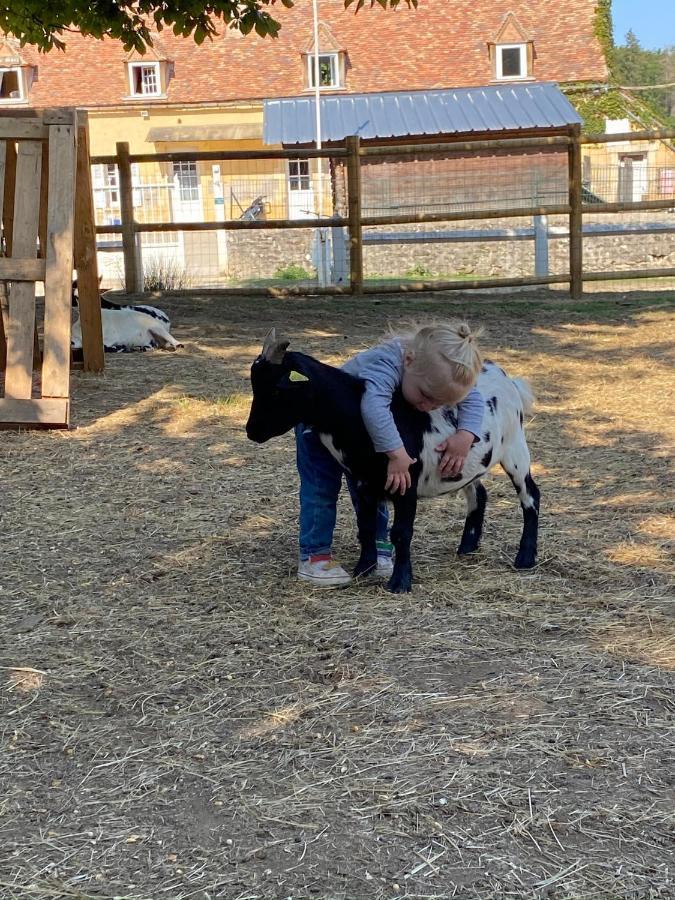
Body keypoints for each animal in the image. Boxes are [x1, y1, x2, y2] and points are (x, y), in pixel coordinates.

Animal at [246, 328, 540, 592]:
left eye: (277, 389)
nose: (252, 431)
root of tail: (509, 380)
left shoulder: (407, 484)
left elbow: (401, 532)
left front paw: (400, 582)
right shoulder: (362, 481)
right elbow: (365, 526)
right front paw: (363, 570)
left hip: (515, 450)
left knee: (530, 496)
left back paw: (525, 558)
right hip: (467, 463)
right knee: (478, 494)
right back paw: (467, 546)